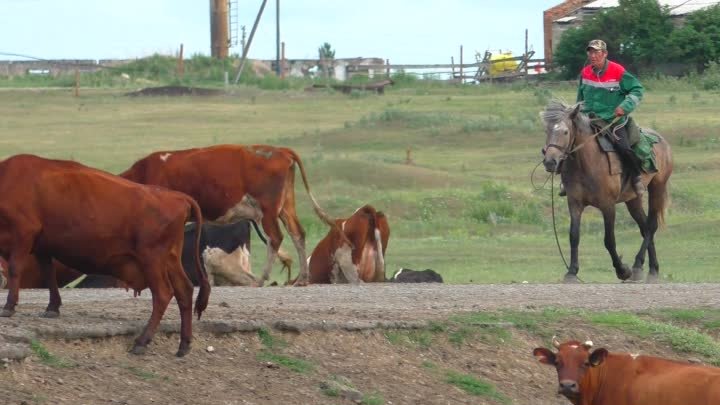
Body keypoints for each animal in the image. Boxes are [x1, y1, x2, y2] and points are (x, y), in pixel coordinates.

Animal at [0, 153, 210, 356]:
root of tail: (178, 197)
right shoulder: (42, 246)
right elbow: (48, 275)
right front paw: (52, 307)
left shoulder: (24, 234)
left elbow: (14, 270)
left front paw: (9, 306)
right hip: (170, 259)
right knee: (184, 291)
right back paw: (184, 344)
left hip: (152, 260)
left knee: (163, 294)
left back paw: (142, 342)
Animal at [119, 144, 344, 286]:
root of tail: (280, 151)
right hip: (285, 207)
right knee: (297, 233)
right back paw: (303, 279)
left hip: (268, 211)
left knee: (275, 238)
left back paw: (261, 279)